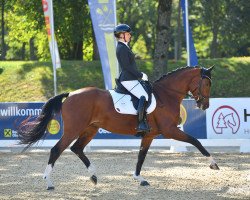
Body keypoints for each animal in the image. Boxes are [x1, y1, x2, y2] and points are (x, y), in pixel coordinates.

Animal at [17, 65, 219, 189]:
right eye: (207, 83)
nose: (205, 106)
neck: (166, 95)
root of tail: (71, 94)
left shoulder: (149, 135)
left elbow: (141, 157)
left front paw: (140, 178)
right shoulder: (170, 130)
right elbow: (196, 141)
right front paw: (213, 163)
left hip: (90, 129)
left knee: (77, 148)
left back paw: (93, 176)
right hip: (73, 129)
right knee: (56, 150)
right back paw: (49, 182)